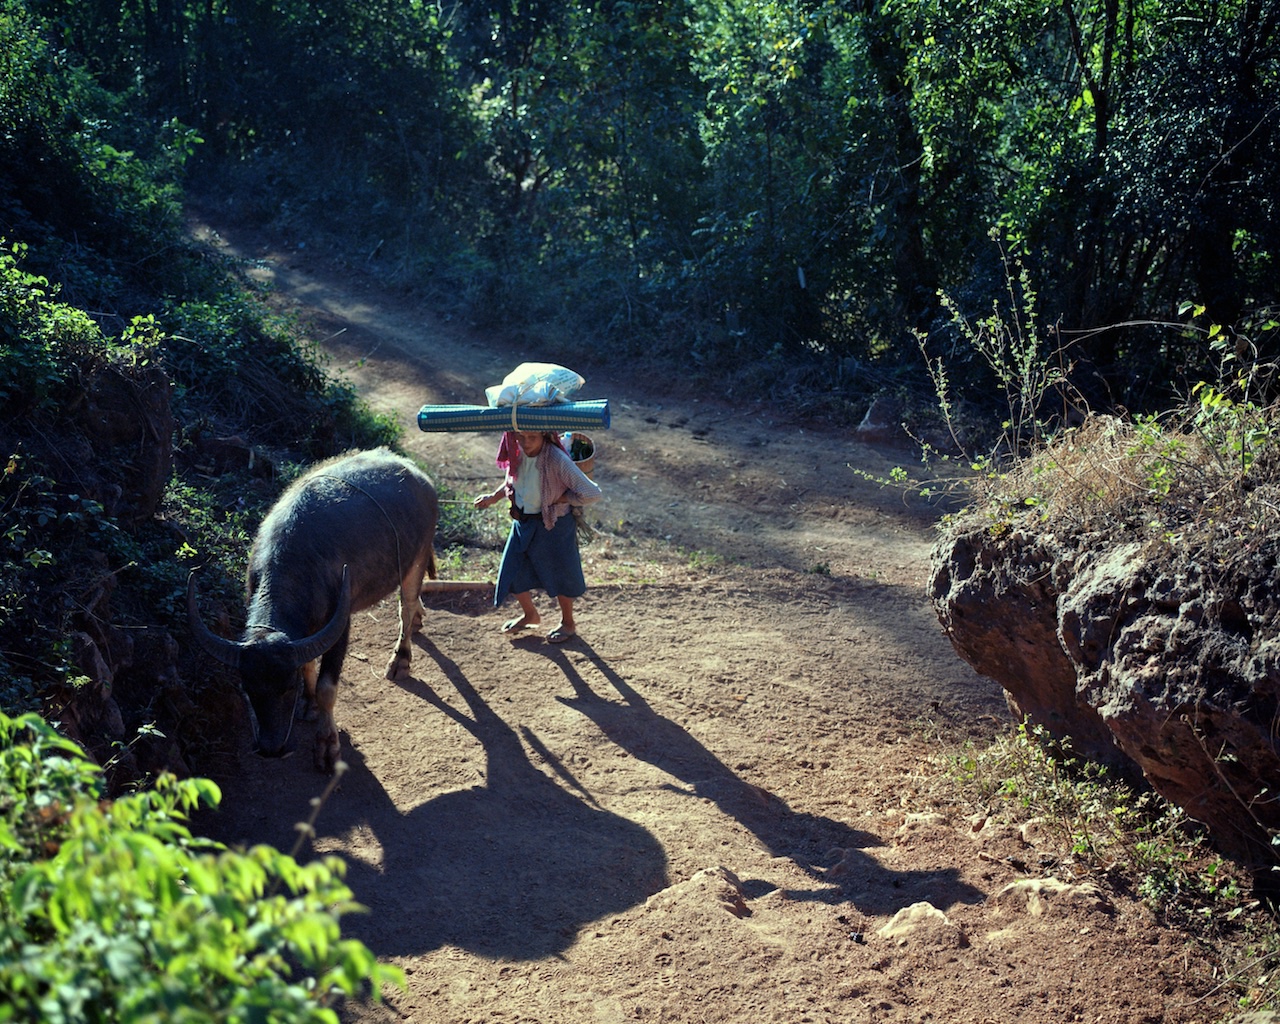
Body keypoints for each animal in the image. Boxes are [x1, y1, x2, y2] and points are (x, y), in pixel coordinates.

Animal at [188, 448, 440, 768]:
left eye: (287, 687)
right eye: (247, 688)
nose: (271, 748)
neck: (297, 565)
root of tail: (419, 476)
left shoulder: (340, 624)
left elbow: (326, 688)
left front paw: (326, 745)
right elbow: (308, 663)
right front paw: (308, 705)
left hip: (415, 560)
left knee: (405, 606)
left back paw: (401, 659)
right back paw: (419, 619)